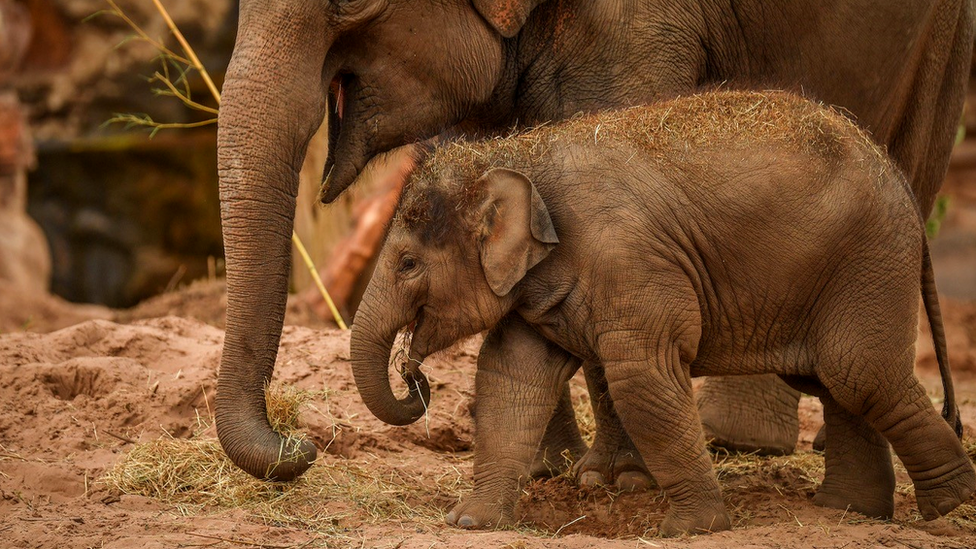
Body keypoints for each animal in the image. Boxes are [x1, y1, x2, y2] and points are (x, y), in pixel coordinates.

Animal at [350, 91, 976, 536]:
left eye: (407, 263)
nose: (413, 374)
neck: (516, 154)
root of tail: (901, 182)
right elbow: (509, 377)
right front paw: (470, 523)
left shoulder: (629, 260)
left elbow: (642, 379)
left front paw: (691, 528)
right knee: (834, 381)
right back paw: (848, 512)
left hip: (868, 264)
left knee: (860, 374)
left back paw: (948, 507)